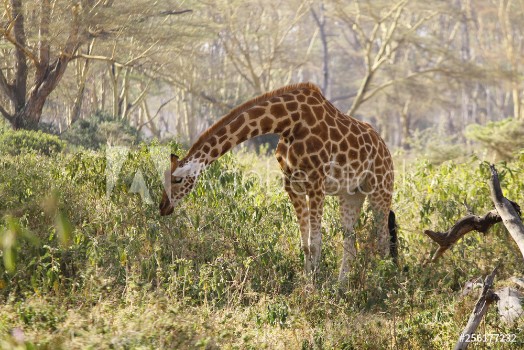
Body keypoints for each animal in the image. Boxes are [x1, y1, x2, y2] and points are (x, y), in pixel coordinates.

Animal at [160, 82, 398, 284]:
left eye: (178, 179)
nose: (163, 207)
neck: (288, 122)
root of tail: (386, 149)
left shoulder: (316, 183)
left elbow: (315, 243)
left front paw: (315, 288)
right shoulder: (292, 185)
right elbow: (305, 244)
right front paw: (307, 284)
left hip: (380, 188)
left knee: (383, 239)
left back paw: (382, 286)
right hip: (351, 194)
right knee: (351, 242)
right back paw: (342, 287)